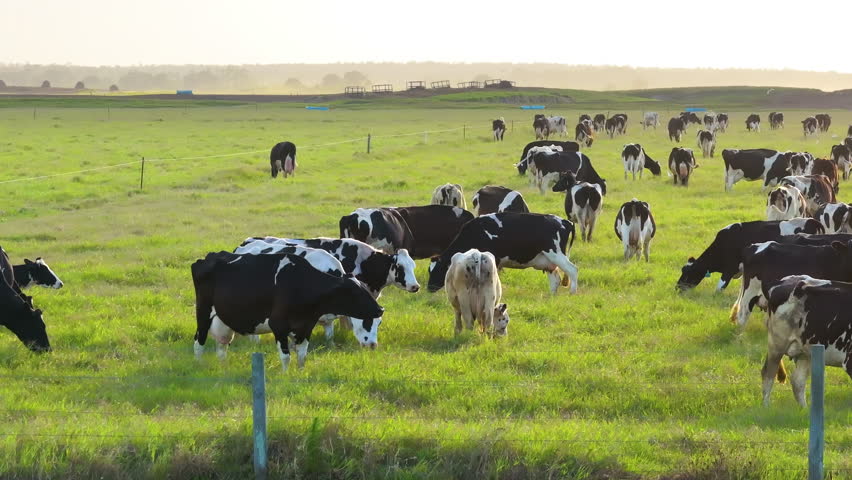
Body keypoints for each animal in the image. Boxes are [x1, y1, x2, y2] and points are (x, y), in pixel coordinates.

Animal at [191, 252, 383, 371]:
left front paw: (300, 373)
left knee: (221, 348)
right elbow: (286, 356)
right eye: (356, 292)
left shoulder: (306, 326)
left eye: (366, 290)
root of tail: (209, 257)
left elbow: (302, 355)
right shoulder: (278, 325)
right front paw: (285, 375)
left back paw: (224, 368)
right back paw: (199, 365)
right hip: (203, 312)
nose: (380, 309)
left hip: (223, 321)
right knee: (199, 342)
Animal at [427, 213, 579, 295]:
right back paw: (551, 296)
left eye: (439, 269)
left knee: (573, 270)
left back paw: (572, 292)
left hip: (556, 254)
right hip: (549, 261)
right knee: (555, 279)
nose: (429, 288)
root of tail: (565, 221)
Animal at [762, 274, 852, 406]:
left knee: (797, 381)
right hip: (777, 344)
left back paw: (803, 409)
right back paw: (766, 406)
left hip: (805, 351)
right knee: (768, 374)